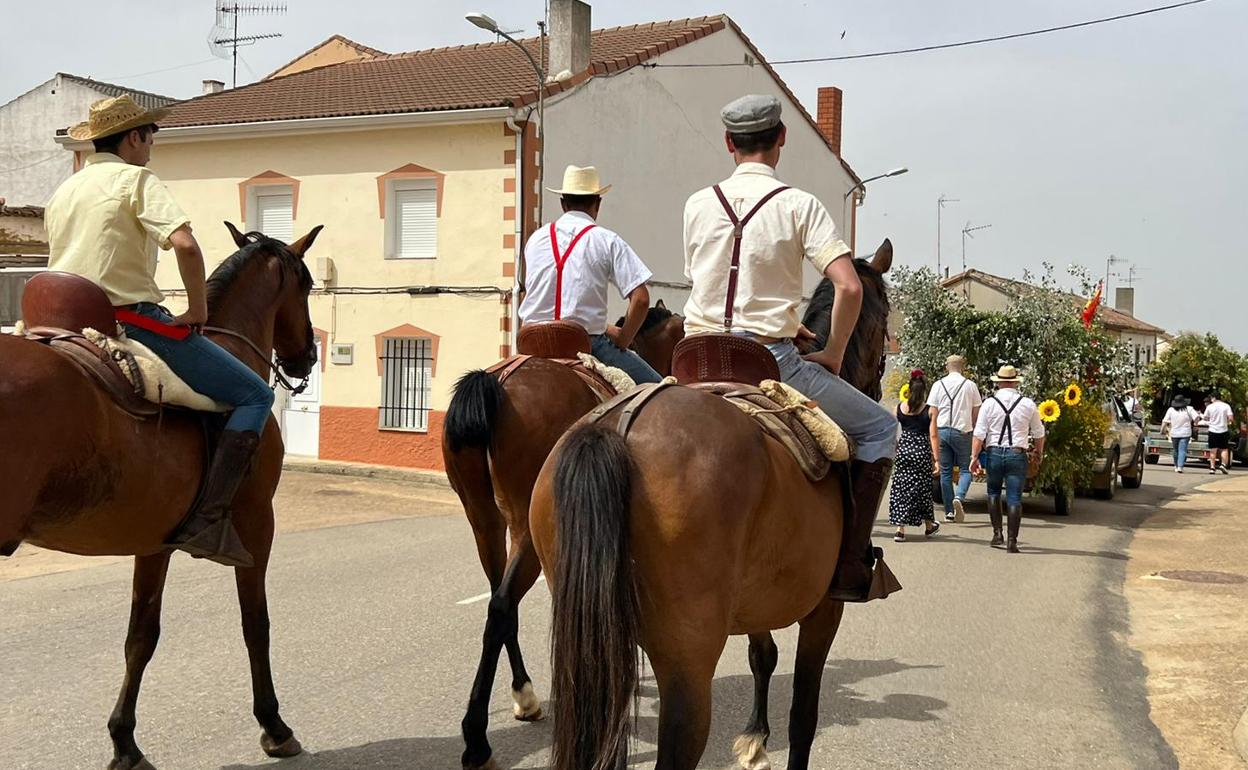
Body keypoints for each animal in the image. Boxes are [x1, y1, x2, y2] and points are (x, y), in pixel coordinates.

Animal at [1, 223, 321, 768]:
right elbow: (255, 623)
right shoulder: (257, 522)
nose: (309, 357)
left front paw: (124, 740)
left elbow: (140, 637)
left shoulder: (154, 541)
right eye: (307, 286)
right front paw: (274, 725)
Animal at [531, 245, 893, 768]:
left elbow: (763, 657)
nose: (883, 382)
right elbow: (803, 717)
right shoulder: (824, 611)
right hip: (687, 666)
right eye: (885, 317)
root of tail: (619, 426)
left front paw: (756, 735)